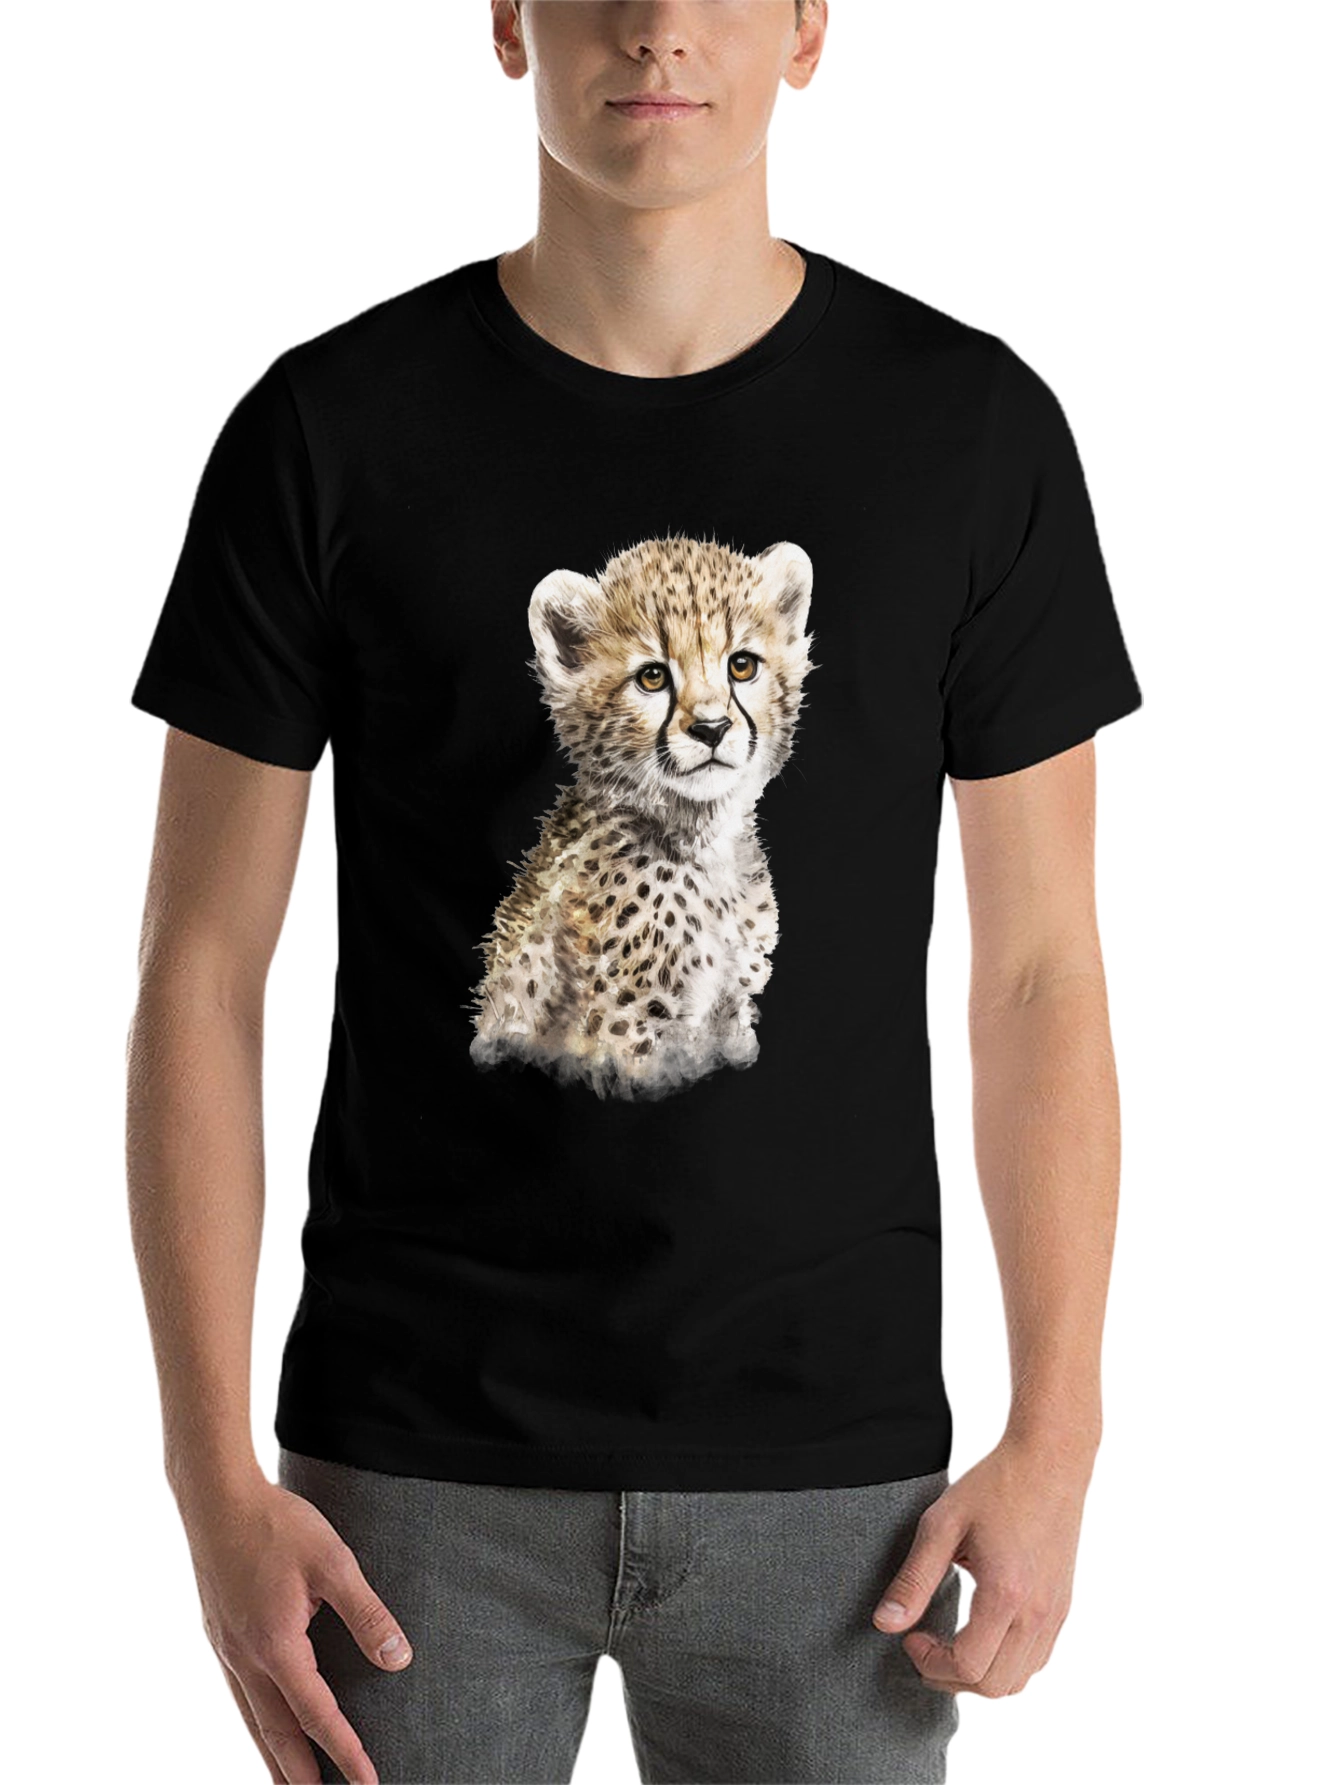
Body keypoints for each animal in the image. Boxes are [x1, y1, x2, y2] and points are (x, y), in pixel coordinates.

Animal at [469, 534, 816, 1097]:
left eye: (742, 666)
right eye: (652, 677)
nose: (712, 728)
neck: (701, 841)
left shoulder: (733, 1011)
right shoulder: (625, 1029)